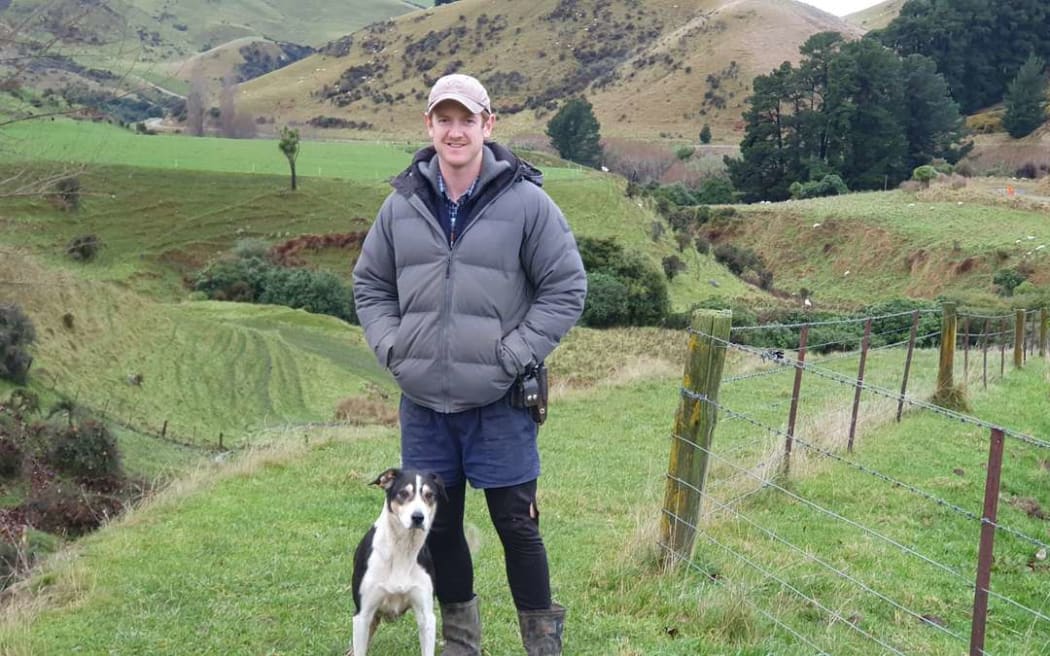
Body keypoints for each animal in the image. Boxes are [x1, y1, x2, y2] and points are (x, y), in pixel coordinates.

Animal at [350, 466, 445, 654]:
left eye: (430, 495)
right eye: (403, 493)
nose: (418, 517)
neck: (402, 549)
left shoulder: (426, 616)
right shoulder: (362, 615)